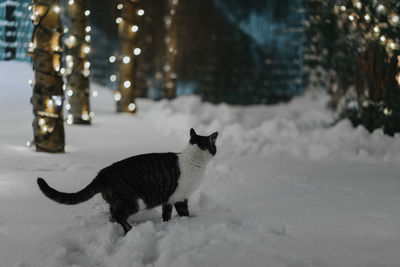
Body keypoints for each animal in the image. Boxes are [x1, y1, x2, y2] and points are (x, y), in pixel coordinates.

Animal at [37, 129, 219, 233]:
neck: (193, 158)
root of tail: (103, 172)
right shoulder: (181, 196)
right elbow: (184, 213)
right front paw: (188, 223)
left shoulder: (168, 199)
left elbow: (166, 214)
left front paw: (166, 224)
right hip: (133, 201)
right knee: (118, 215)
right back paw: (131, 230)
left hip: (117, 201)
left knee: (112, 215)